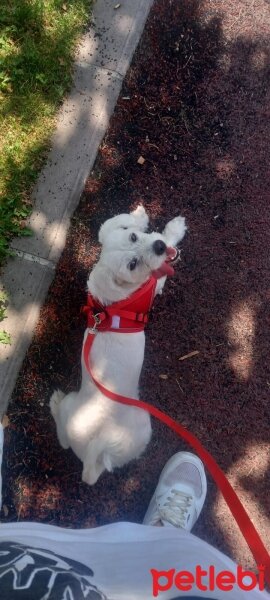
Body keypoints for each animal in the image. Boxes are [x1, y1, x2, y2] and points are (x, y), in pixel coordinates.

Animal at [50, 205, 186, 482]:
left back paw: (56, 405)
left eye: (133, 237)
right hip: (144, 423)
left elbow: (112, 224)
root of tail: (91, 457)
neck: (115, 302)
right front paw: (174, 230)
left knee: (63, 440)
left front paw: (139, 217)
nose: (158, 246)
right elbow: (167, 256)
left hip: (72, 410)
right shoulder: (155, 283)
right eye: (132, 265)